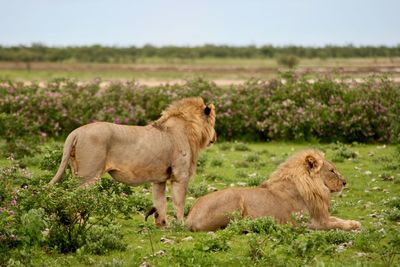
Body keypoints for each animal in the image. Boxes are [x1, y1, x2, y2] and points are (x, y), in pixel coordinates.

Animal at [50, 97, 219, 225]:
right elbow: (179, 202)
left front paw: (162, 225)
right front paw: (180, 225)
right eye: (213, 122)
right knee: (74, 196)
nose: (215, 137)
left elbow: (160, 202)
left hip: (76, 171)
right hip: (89, 175)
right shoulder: (180, 175)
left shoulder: (159, 180)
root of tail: (76, 132)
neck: (189, 130)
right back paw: (78, 222)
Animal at [186, 149, 360, 232]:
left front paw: (354, 222)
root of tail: (190, 215)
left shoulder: (320, 215)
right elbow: (336, 225)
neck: (315, 189)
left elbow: (337, 220)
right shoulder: (307, 223)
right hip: (234, 199)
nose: (345, 182)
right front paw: (353, 226)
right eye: (332, 171)